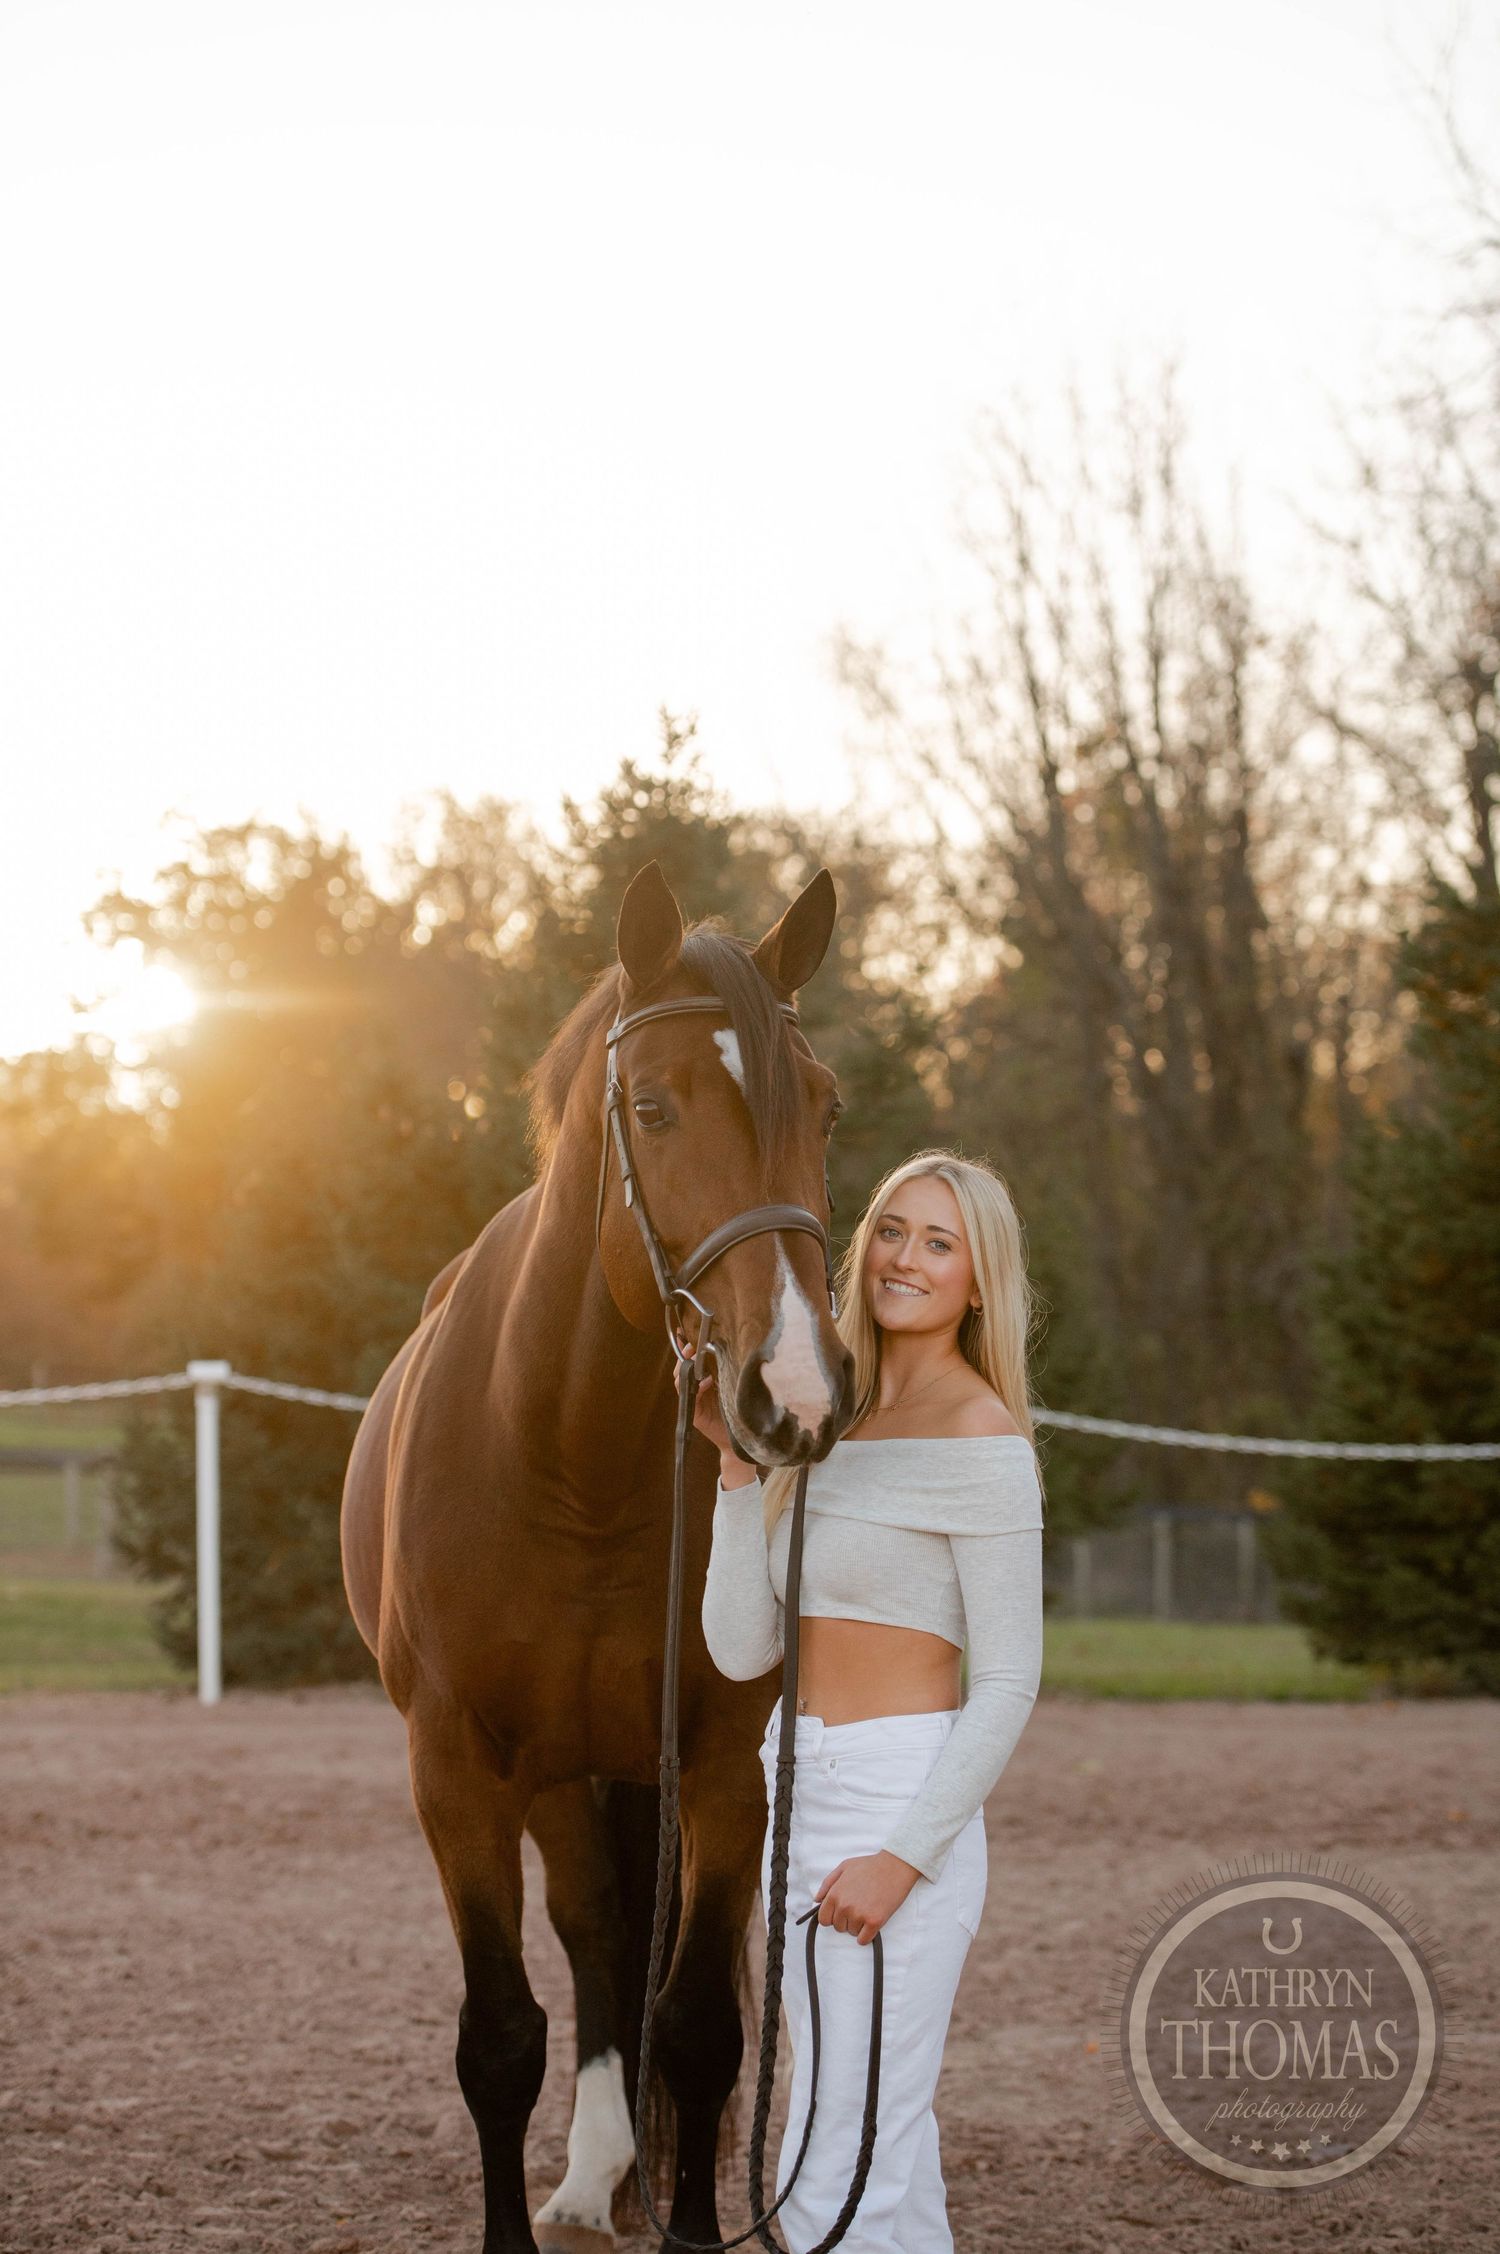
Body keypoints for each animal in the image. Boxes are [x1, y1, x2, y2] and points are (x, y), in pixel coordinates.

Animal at [341, 859, 855, 2254]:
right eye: (652, 1104)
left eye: (827, 1107)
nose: (796, 1389)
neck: (570, 1458)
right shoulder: (456, 1773)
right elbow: (501, 2039)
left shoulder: (723, 1766)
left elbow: (700, 2028)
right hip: (557, 1776)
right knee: (590, 1934)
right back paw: (588, 2177)